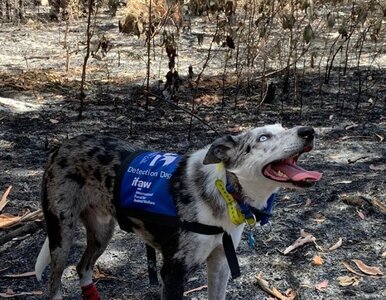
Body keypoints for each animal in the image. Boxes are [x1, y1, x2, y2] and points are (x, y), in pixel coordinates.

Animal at [34, 123, 322, 298]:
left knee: (82, 268)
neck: (226, 190)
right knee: (55, 284)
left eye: (284, 127)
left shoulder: (220, 264)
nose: (308, 131)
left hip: (102, 232)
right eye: (263, 137)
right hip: (61, 235)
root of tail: (63, 145)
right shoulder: (173, 273)